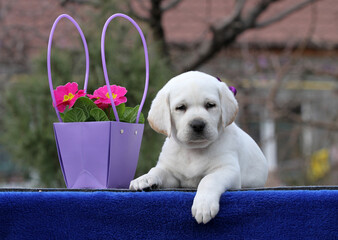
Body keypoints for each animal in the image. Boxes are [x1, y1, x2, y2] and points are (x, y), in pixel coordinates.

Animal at [131, 71, 268, 223]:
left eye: (210, 105)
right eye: (181, 107)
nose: (197, 124)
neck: (194, 150)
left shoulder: (228, 170)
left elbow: (208, 179)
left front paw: (203, 205)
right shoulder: (173, 176)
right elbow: (157, 170)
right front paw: (144, 178)